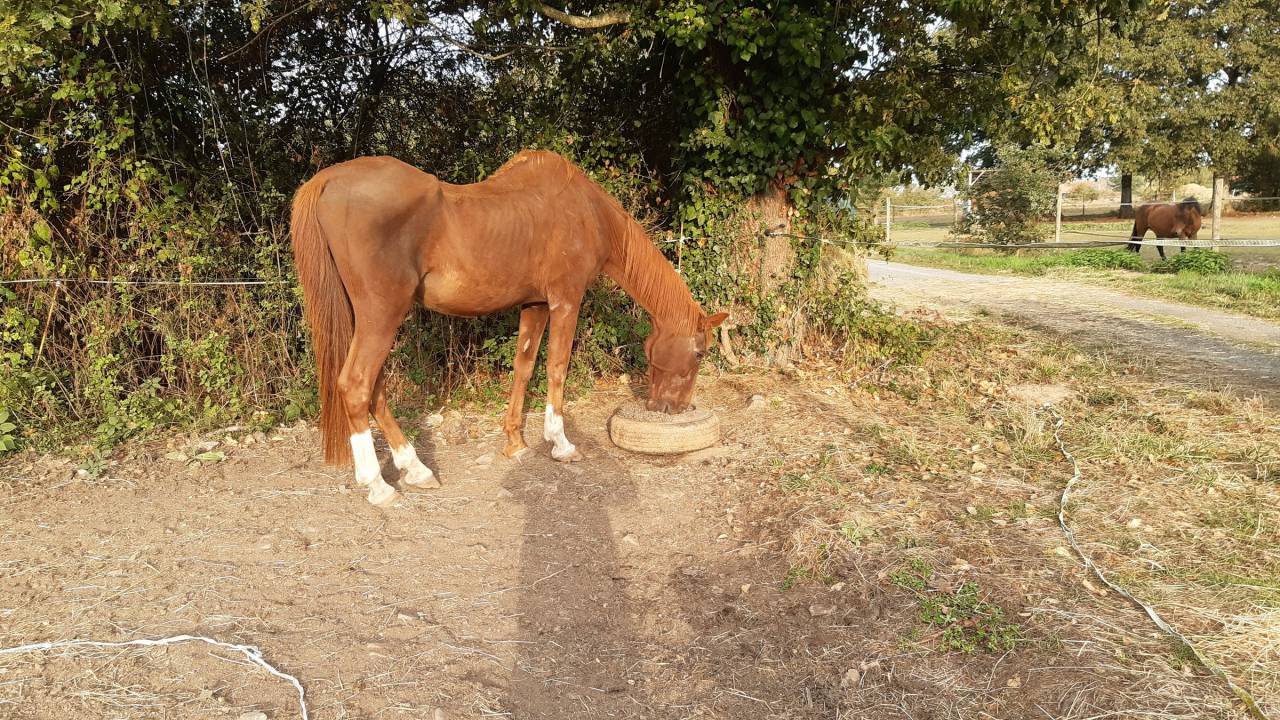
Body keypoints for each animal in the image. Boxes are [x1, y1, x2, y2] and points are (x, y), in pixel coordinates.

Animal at [290, 150, 728, 505]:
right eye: (700, 351)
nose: (671, 408)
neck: (586, 211)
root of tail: (327, 180)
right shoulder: (565, 300)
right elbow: (556, 368)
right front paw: (561, 443)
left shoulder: (534, 304)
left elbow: (525, 366)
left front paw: (515, 441)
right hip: (382, 315)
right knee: (357, 385)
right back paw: (379, 486)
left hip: (364, 318)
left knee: (374, 389)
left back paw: (415, 469)